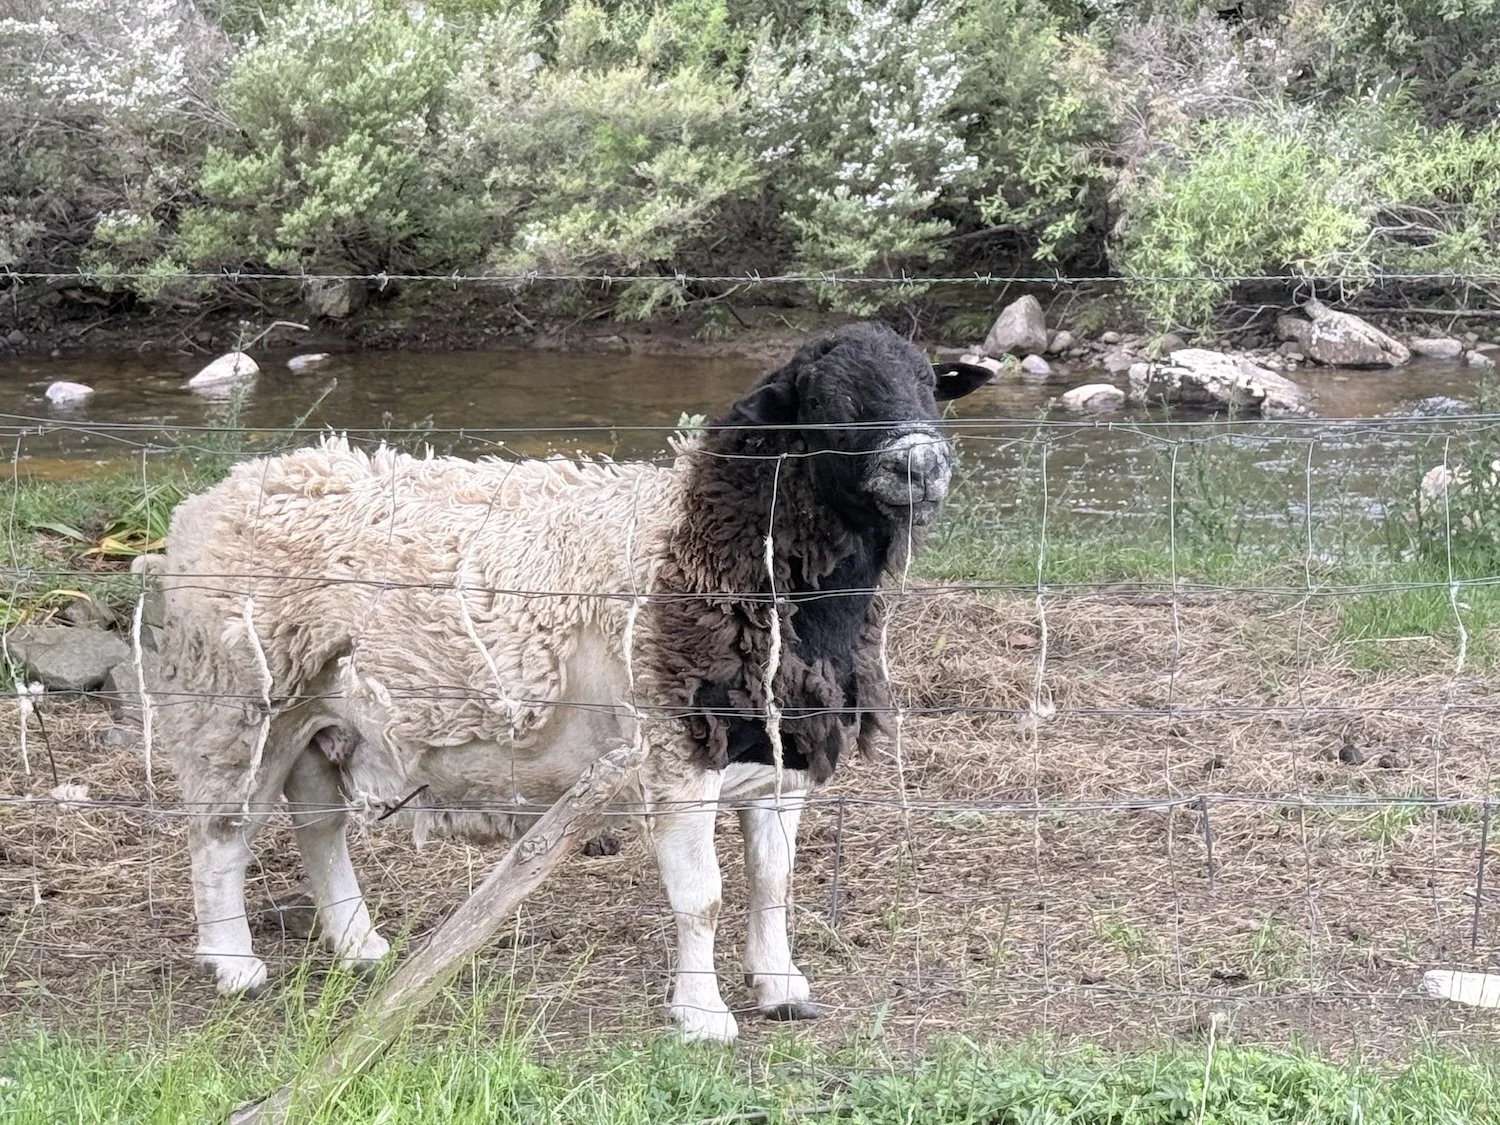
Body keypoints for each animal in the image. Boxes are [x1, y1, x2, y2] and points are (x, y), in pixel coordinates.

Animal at [154, 321, 994, 1042]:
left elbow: (773, 880)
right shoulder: (672, 752)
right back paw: (235, 964)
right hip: (236, 701)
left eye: (929, 385)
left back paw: (360, 945)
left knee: (318, 823)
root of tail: (212, 499)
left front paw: (781, 986)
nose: (922, 466)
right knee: (220, 834)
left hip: (318, 715)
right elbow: (703, 897)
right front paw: (702, 1015)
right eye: (823, 402)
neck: (706, 542)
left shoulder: (778, 747)